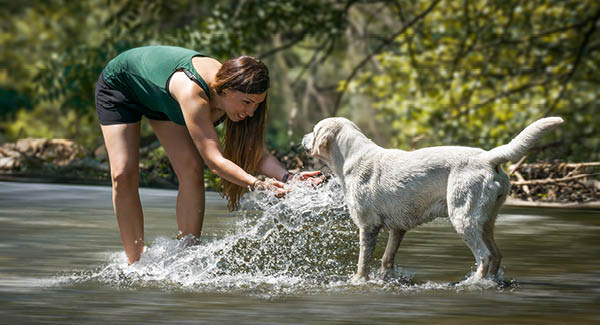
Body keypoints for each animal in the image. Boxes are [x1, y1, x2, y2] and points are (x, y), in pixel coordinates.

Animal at [304, 116, 564, 280]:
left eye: (314, 130)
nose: (302, 139)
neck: (350, 158)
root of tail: (488, 157)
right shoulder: (397, 229)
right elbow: (387, 259)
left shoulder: (368, 226)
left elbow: (363, 263)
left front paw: (358, 281)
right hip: (486, 221)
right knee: (497, 254)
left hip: (462, 219)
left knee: (484, 256)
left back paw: (472, 284)